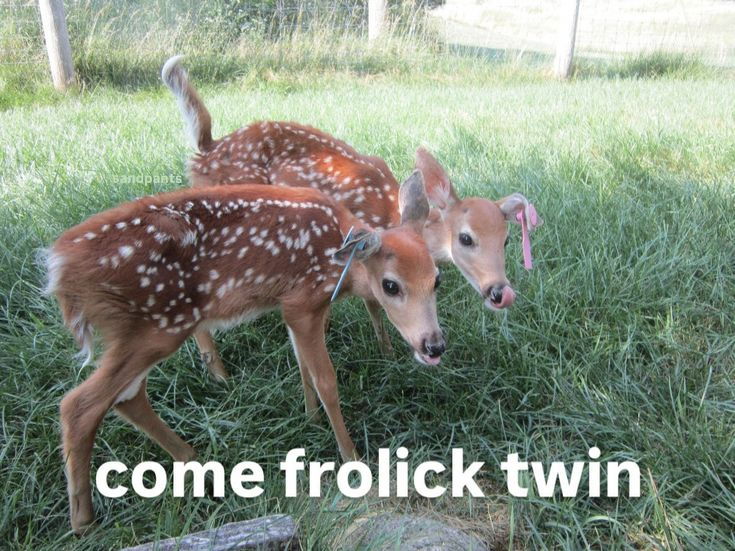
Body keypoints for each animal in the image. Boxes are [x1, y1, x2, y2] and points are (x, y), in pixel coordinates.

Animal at [45, 175, 444, 533]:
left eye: (437, 279)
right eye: (390, 285)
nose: (434, 345)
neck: (340, 261)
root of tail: (59, 269)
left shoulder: (291, 307)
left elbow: (302, 367)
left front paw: (310, 420)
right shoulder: (303, 301)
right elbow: (326, 380)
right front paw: (352, 459)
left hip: (142, 331)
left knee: (125, 397)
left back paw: (191, 460)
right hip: (156, 324)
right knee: (80, 405)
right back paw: (84, 522)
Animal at [162, 55, 542, 380]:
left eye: (507, 239)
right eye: (466, 238)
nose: (500, 292)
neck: (394, 211)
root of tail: (205, 151)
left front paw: (381, 350)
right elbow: (374, 303)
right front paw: (385, 351)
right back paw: (219, 373)